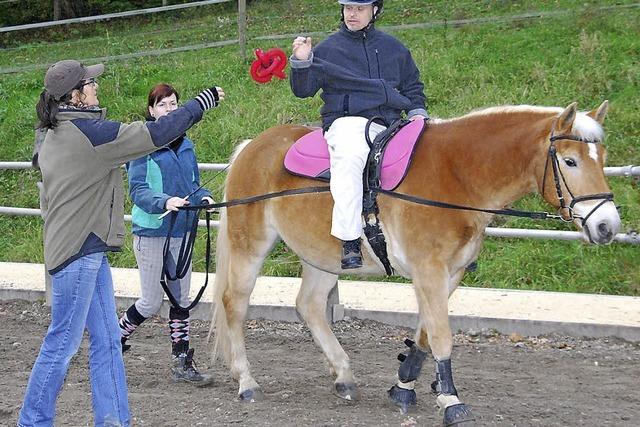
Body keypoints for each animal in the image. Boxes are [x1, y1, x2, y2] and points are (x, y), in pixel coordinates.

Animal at [210, 102, 620, 426]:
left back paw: (343, 375)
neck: (457, 175)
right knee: (235, 304)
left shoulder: (449, 273)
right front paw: (451, 400)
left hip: (323, 257)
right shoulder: (430, 269)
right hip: (250, 246)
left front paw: (404, 385)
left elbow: (424, 332)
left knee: (309, 305)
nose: (607, 226)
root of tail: (252, 147)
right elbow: (441, 335)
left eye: (602, 160)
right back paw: (246, 381)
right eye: (569, 161)